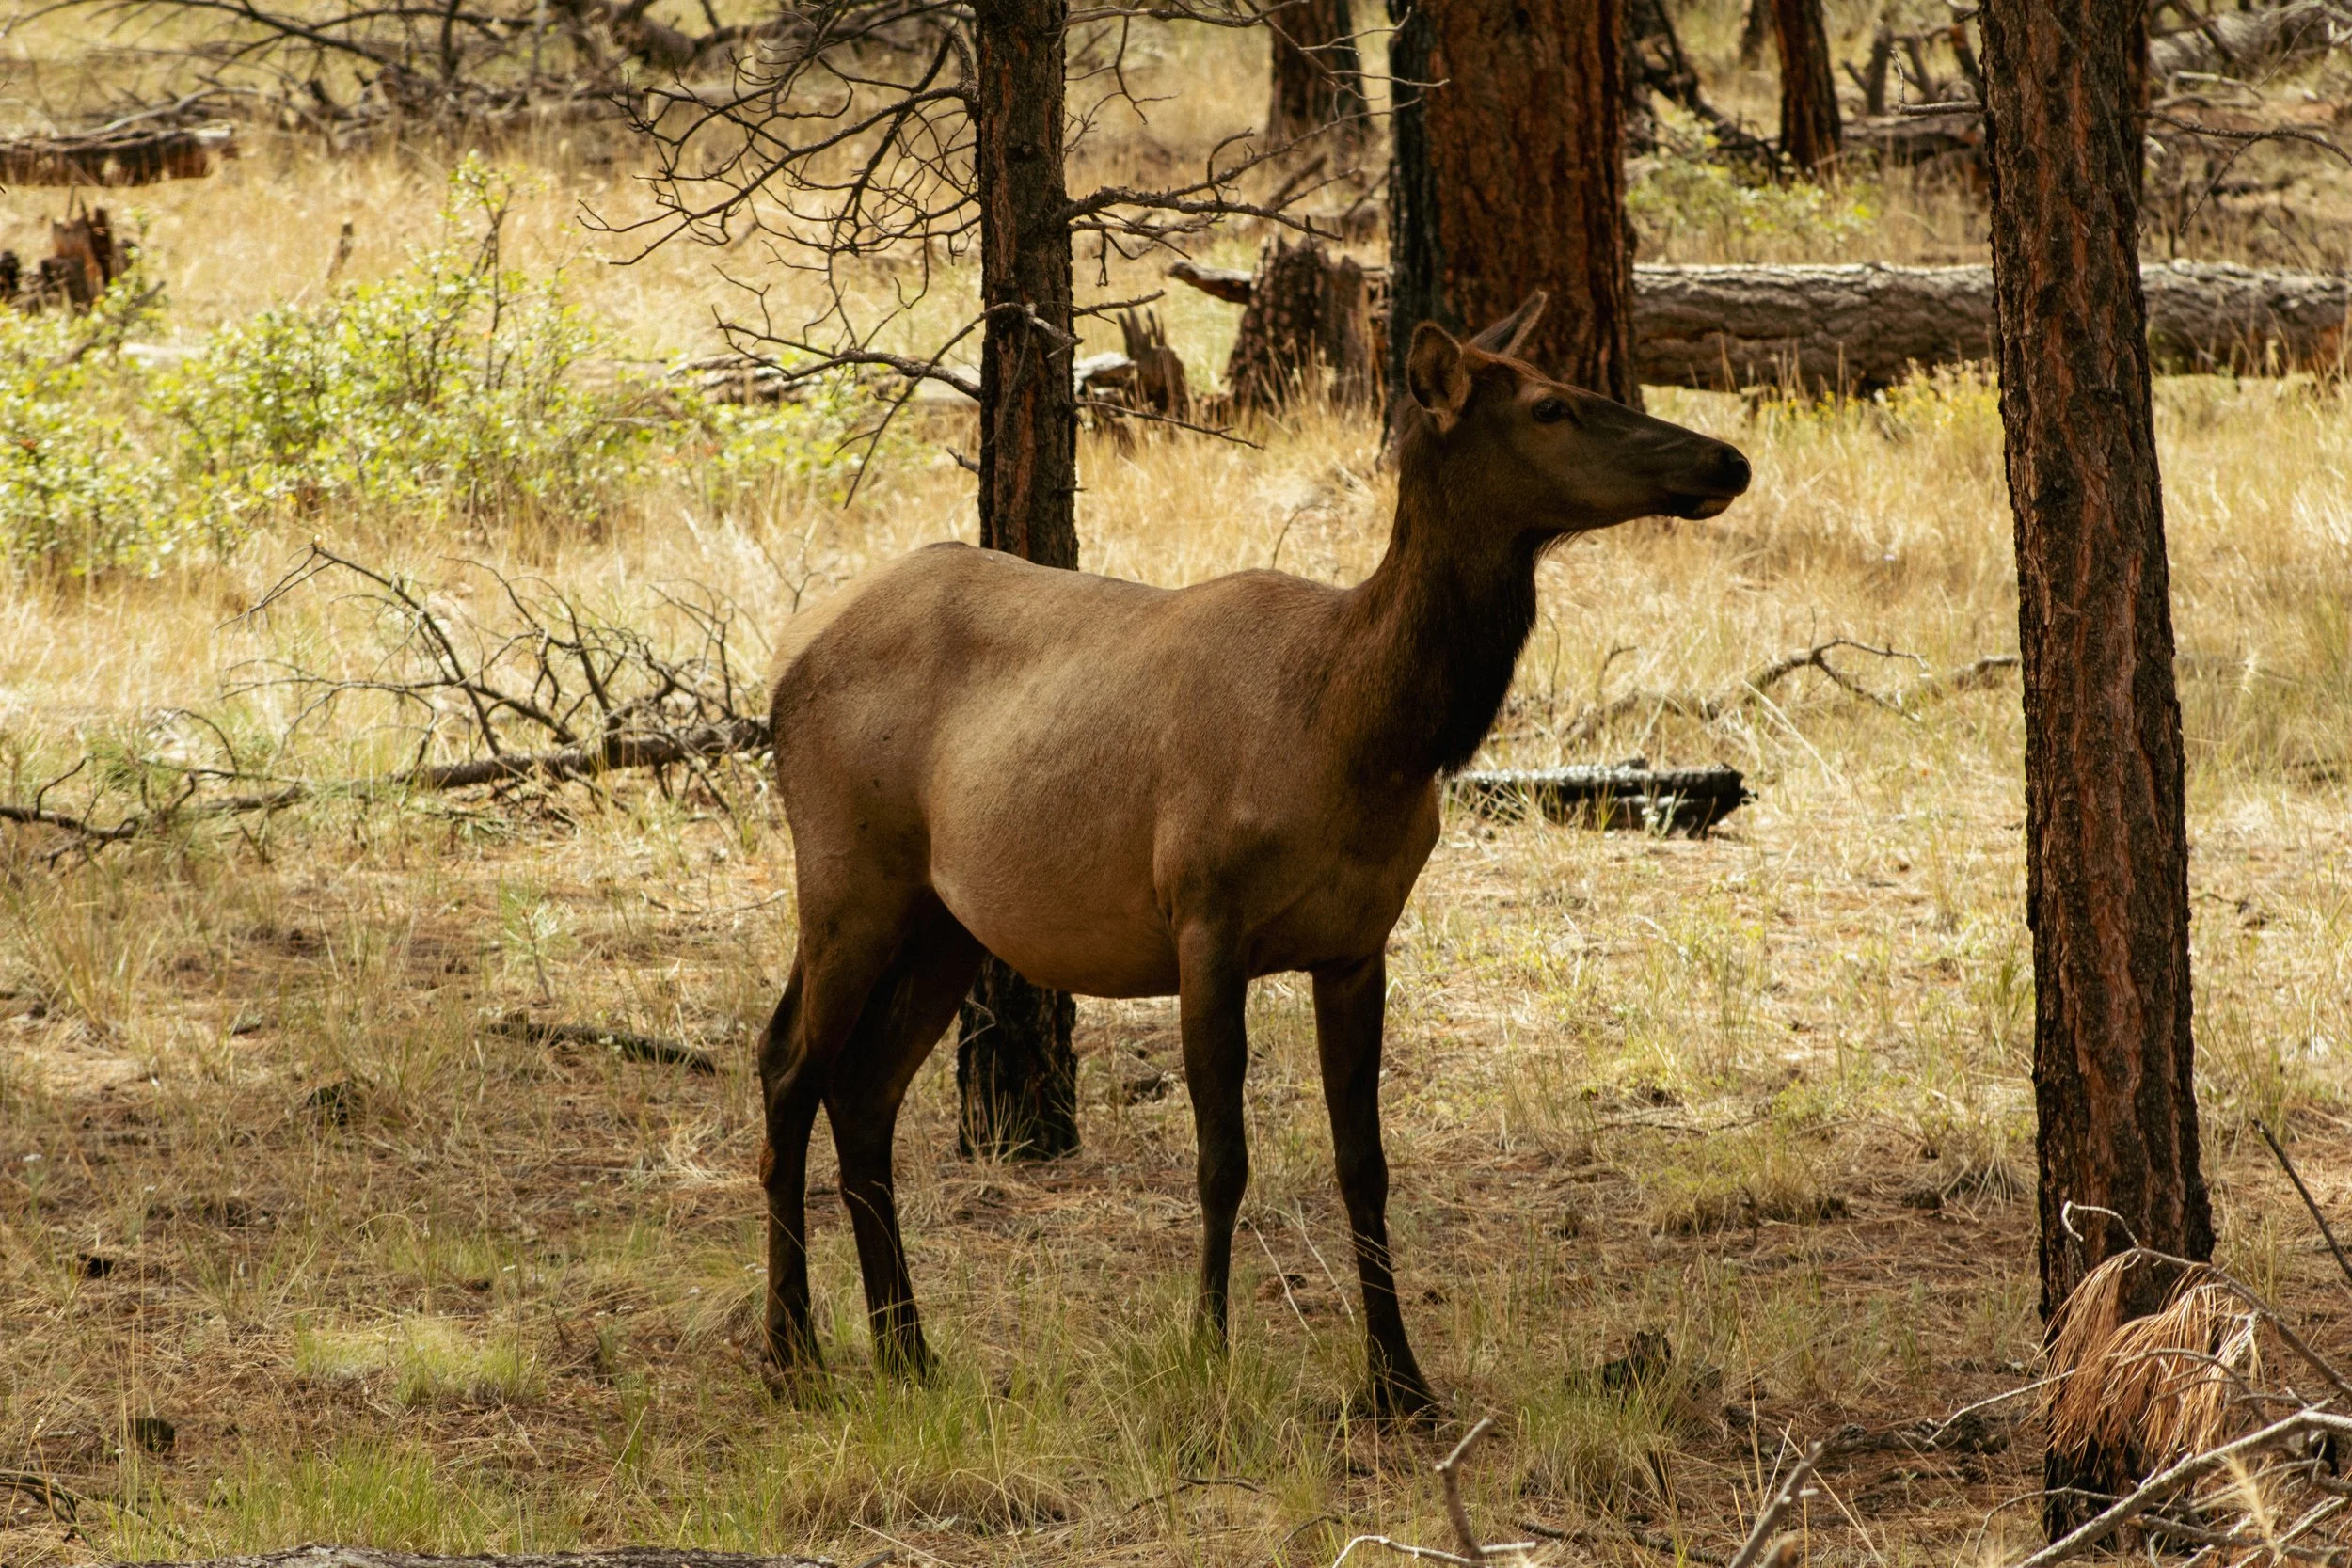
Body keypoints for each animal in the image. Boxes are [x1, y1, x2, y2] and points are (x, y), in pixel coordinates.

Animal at [756, 293, 1751, 1416]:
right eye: (1550, 405)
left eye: (1578, 384)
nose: (1726, 458)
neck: (1355, 736)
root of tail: (782, 665)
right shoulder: (1204, 915)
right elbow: (1221, 1158)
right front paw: (1207, 1354)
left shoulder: (1359, 940)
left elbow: (1365, 1162)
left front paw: (1399, 1377)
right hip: (847, 875)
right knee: (788, 1066)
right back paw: (793, 1347)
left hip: (943, 921)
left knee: (862, 1092)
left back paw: (907, 1350)